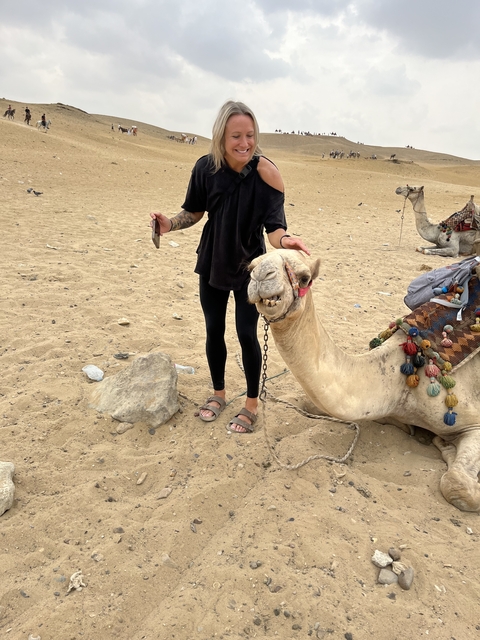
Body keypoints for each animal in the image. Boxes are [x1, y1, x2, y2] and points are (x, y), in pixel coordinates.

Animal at [248, 249, 480, 512]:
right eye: (250, 267)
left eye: (305, 277)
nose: (260, 275)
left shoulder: (471, 419)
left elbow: (456, 485)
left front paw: (445, 445)